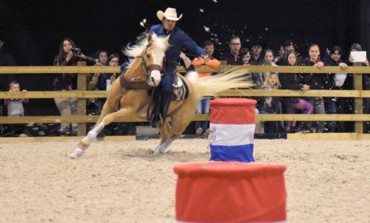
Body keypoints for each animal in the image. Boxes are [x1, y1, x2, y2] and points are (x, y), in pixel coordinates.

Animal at [69, 33, 251, 159]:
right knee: (166, 133)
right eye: (148, 55)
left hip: (181, 119)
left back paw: (161, 149)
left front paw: (82, 145)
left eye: (163, 57)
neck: (132, 82)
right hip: (161, 117)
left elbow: (107, 119)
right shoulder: (109, 104)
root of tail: (193, 87)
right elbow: (99, 121)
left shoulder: (128, 110)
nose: (155, 78)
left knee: (174, 134)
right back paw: (157, 149)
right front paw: (78, 150)